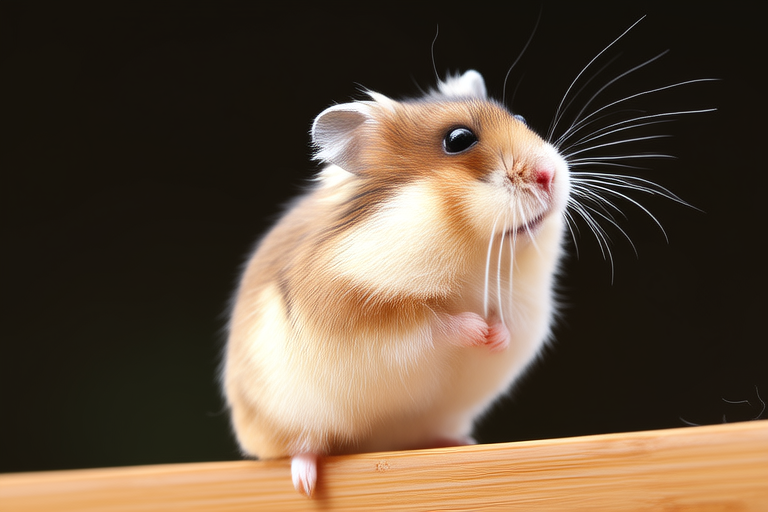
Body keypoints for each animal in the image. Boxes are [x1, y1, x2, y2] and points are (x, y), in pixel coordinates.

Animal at [223, 69, 570, 496]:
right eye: (459, 139)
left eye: (520, 118)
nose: (549, 175)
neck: (475, 251)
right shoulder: (364, 312)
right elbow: (434, 323)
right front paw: (478, 330)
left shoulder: (526, 309)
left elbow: (507, 325)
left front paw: (495, 337)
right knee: (301, 446)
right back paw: (305, 481)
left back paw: (462, 442)